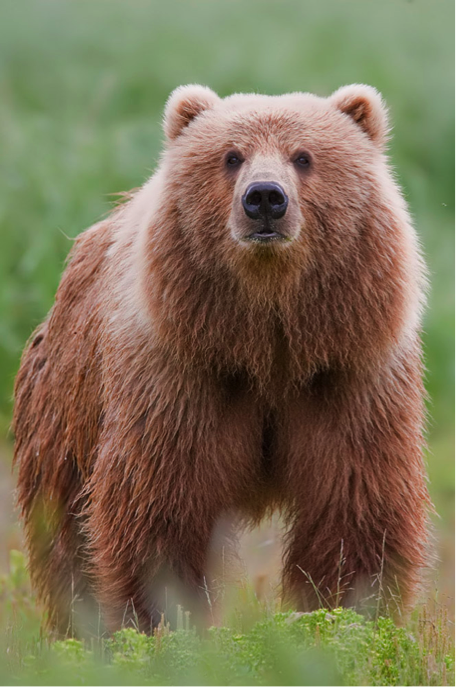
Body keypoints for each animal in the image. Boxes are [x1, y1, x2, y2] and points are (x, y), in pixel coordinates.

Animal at [11, 83, 432, 636]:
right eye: (231, 157)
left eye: (303, 157)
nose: (265, 198)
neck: (265, 342)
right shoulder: (180, 377)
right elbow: (161, 510)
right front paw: (164, 623)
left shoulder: (348, 375)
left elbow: (355, 507)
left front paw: (346, 617)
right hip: (66, 410)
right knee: (65, 541)